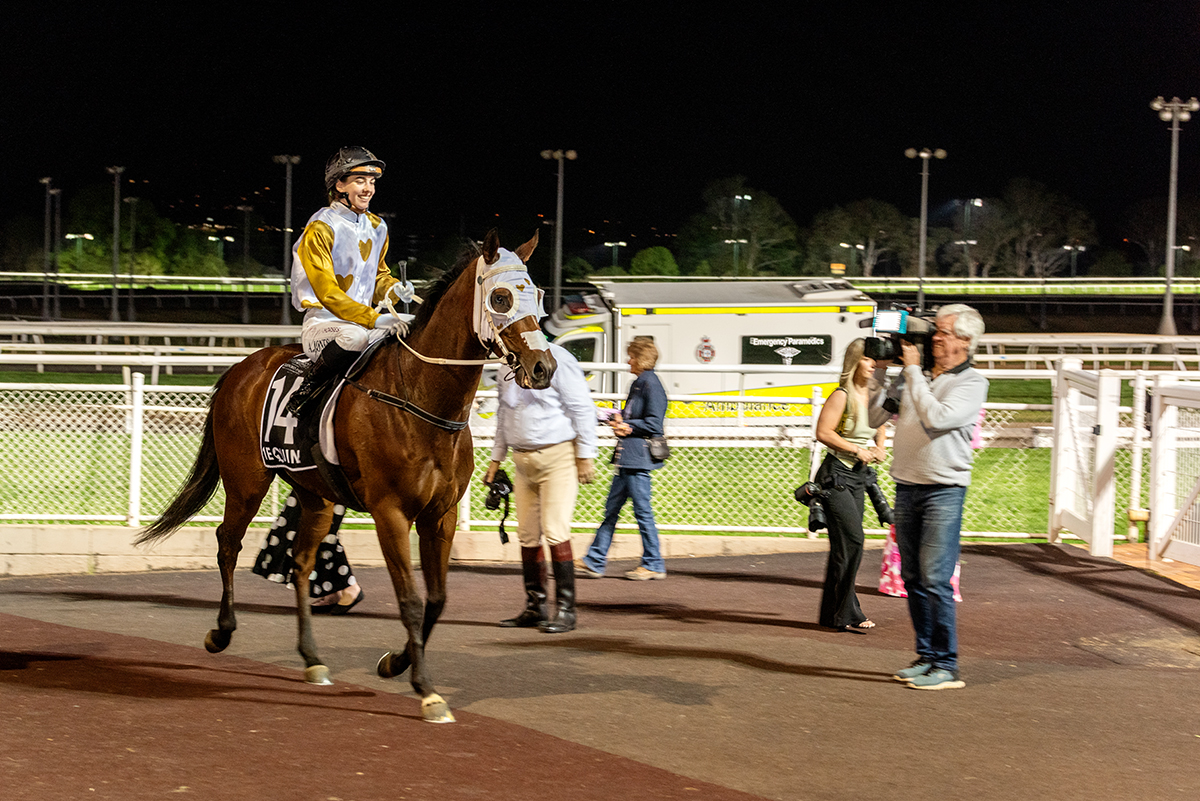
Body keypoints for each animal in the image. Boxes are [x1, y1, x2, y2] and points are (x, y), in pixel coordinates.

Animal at [136, 229, 555, 723]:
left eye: (538, 294)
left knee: (299, 562)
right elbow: (411, 600)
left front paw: (395, 663)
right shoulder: (390, 513)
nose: (543, 368)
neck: (420, 399)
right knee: (227, 544)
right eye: (501, 296)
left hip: (315, 496)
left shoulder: (441, 515)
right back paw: (221, 631)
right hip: (246, 482)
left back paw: (312, 659)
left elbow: (436, 599)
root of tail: (239, 369)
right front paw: (426, 689)